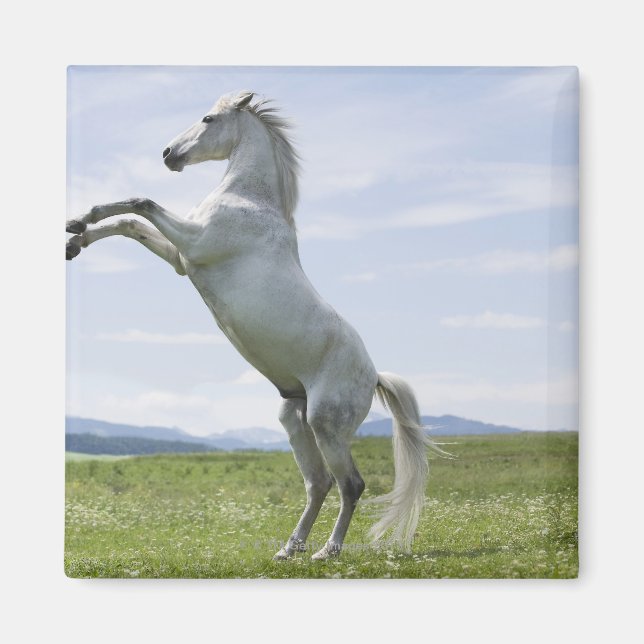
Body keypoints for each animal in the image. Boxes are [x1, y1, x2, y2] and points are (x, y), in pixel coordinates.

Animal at [66, 90, 447, 560]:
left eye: (208, 119)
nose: (169, 154)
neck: (249, 199)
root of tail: (375, 375)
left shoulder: (193, 242)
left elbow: (140, 205)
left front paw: (78, 226)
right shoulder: (181, 258)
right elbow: (129, 223)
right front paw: (75, 235)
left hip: (326, 425)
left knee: (351, 485)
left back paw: (327, 551)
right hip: (295, 419)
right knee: (318, 483)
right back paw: (289, 549)